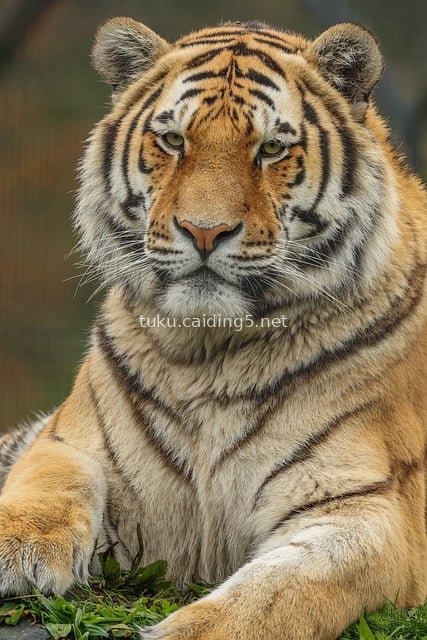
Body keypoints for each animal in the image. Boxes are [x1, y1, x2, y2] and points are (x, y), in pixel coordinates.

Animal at [0, 15, 426, 640]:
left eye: (271, 148)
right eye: (174, 141)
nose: (204, 231)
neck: (208, 351)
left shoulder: (367, 504)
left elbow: (278, 594)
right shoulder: (68, 440)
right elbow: (46, 485)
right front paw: (15, 547)